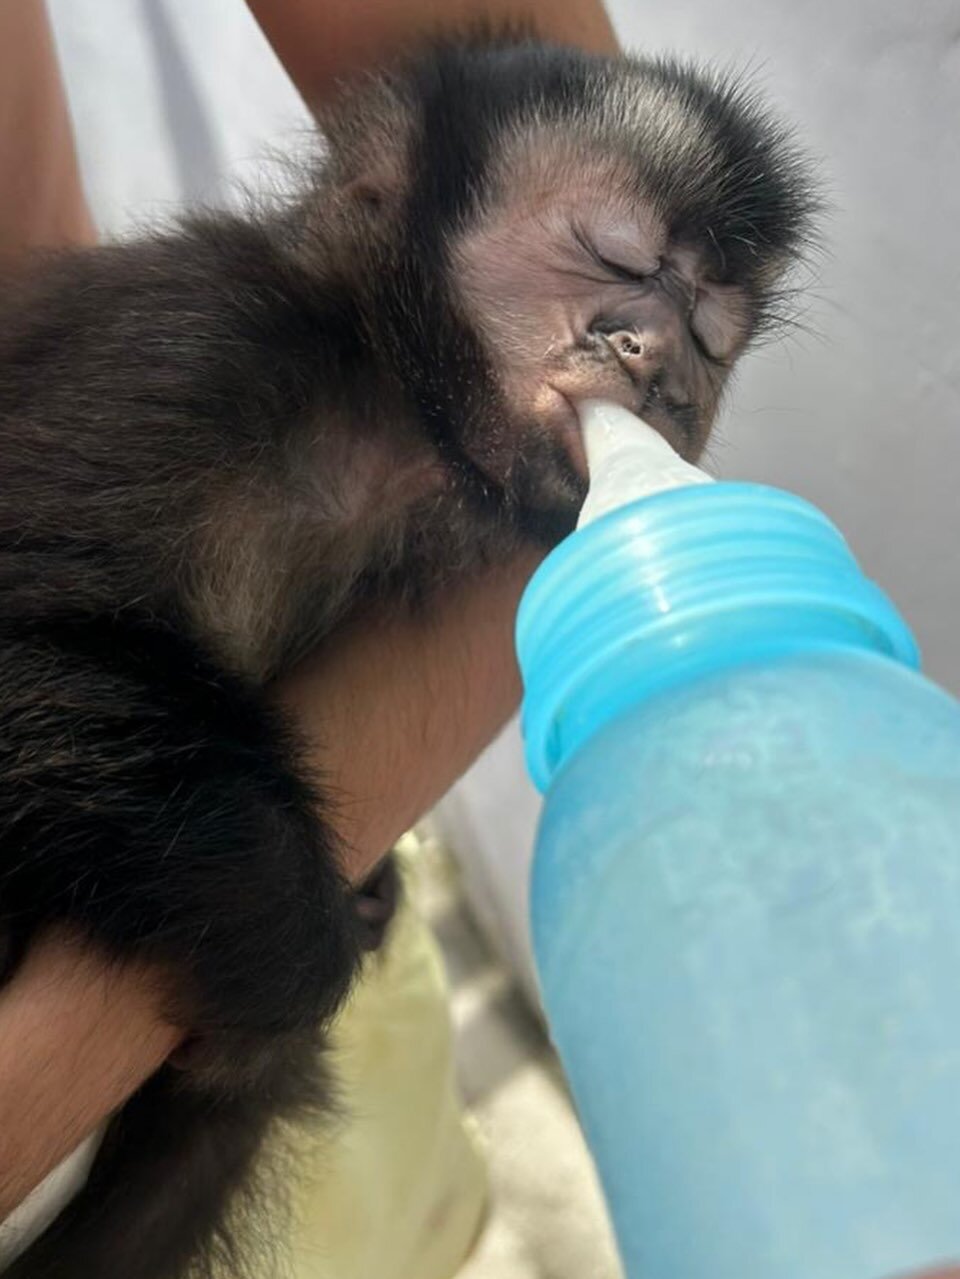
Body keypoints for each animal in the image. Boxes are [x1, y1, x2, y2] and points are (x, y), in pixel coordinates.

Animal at [0, 28, 816, 1279]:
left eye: (714, 337)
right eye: (615, 255)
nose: (665, 372)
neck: (373, 402)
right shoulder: (192, 352)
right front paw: (295, 942)